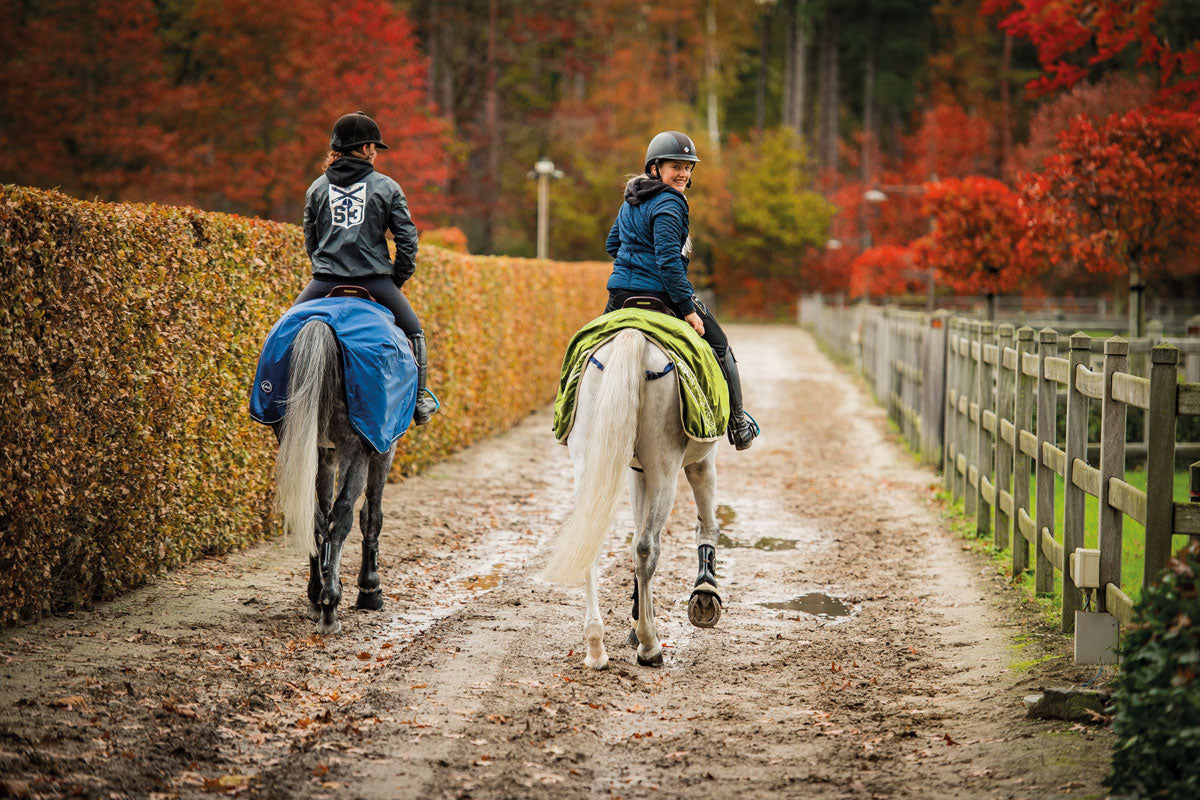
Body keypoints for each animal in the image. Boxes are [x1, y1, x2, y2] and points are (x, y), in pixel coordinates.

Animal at [273, 319, 396, 635]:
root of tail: (320, 325)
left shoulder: (325, 451)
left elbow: (324, 512)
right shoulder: (383, 443)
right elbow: (371, 514)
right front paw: (369, 589)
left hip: (305, 440)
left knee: (315, 515)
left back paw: (317, 596)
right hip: (356, 447)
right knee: (344, 515)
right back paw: (330, 607)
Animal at [544, 328, 723, 669]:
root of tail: (632, 335)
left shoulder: (635, 469)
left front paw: (636, 616)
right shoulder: (698, 459)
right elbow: (705, 521)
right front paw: (705, 592)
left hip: (591, 461)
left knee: (591, 537)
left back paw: (596, 647)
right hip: (664, 469)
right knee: (647, 547)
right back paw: (650, 646)